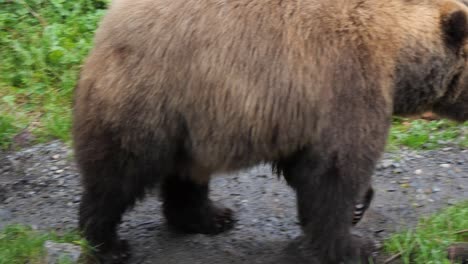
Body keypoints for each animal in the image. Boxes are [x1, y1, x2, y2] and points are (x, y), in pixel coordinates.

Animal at [71, 0, 468, 262]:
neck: (399, 52)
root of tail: (108, 25)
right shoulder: (346, 82)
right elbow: (336, 171)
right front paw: (353, 244)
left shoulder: (301, 109)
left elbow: (308, 167)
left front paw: (358, 206)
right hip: (153, 96)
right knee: (120, 172)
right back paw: (107, 243)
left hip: (193, 120)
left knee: (186, 171)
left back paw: (209, 217)